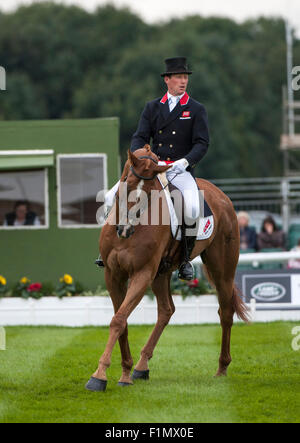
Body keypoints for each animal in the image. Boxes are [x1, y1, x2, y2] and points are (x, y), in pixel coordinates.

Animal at [85, 145, 248, 392]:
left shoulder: (142, 273)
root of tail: (221, 196)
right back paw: (141, 366)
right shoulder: (113, 274)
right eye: (127, 183)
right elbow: (121, 320)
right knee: (166, 310)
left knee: (226, 312)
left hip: (222, 270)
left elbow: (119, 319)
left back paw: (222, 368)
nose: (124, 230)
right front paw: (125, 372)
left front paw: (100, 375)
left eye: (150, 192)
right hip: (161, 274)